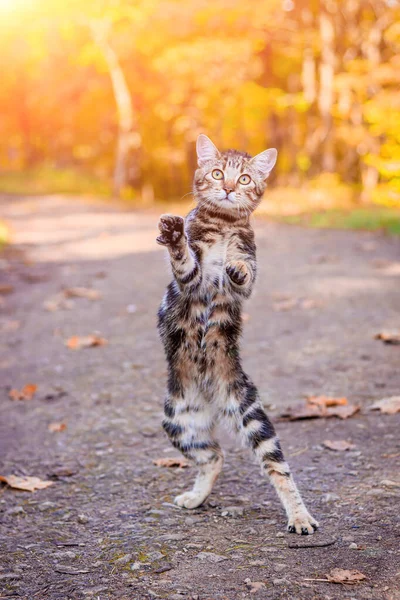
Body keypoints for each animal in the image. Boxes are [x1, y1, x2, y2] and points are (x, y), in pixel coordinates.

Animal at [156, 136, 318, 536]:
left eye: (243, 178)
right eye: (217, 174)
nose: (228, 188)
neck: (224, 225)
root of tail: (213, 399)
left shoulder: (248, 269)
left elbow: (243, 271)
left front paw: (235, 267)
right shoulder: (191, 280)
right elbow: (185, 259)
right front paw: (174, 235)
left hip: (251, 415)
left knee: (276, 468)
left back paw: (300, 516)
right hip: (180, 420)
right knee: (214, 456)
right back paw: (196, 497)